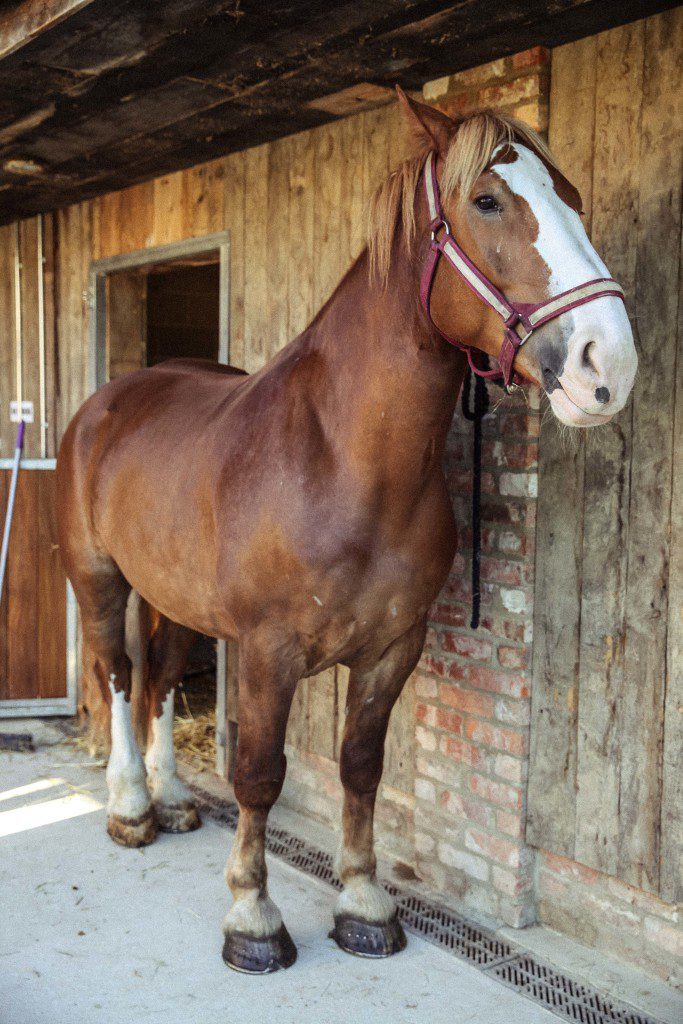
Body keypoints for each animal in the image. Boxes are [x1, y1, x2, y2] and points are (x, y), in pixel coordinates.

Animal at [56, 90, 638, 974]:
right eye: (486, 200)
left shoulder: (394, 647)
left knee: (159, 675)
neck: (343, 460)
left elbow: (361, 768)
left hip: (175, 595)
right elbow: (260, 774)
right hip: (98, 578)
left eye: (570, 196)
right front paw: (252, 919)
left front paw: (363, 905)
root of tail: (111, 401)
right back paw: (130, 808)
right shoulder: (268, 651)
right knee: (118, 673)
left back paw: (175, 798)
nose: (607, 363)